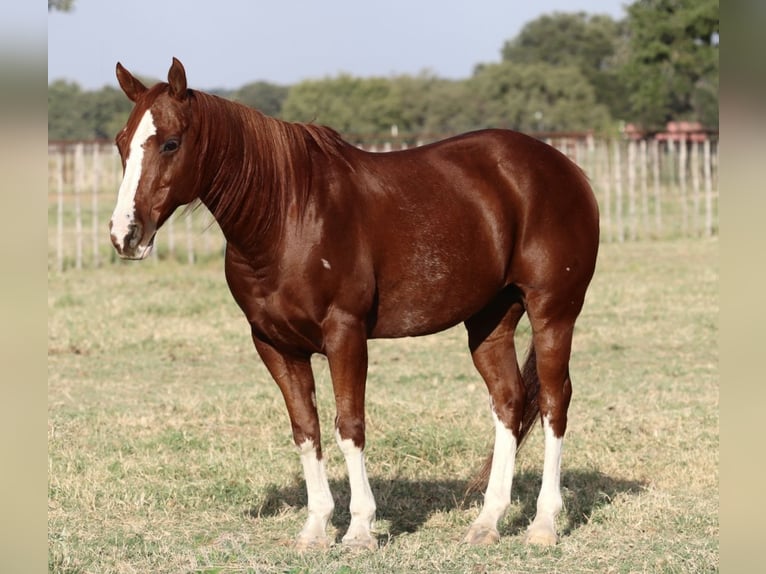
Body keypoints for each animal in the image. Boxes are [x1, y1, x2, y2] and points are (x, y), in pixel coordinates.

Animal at [109, 58, 599, 550]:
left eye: (170, 143)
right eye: (120, 143)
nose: (125, 234)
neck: (288, 216)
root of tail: (566, 168)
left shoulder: (345, 334)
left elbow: (349, 425)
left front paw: (360, 529)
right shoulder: (275, 345)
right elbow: (306, 430)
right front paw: (316, 527)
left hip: (554, 311)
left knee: (554, 401)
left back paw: (543, 524)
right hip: (490, 320)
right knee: (510, 401)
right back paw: (487, 520)